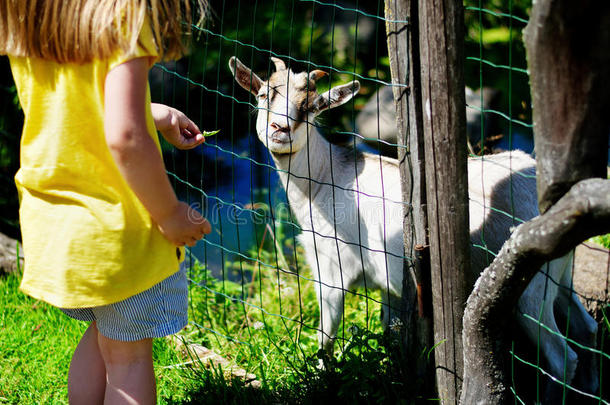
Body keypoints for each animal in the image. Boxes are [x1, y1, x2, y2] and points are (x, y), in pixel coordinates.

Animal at [228, 56, 592, 392]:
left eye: (311, 107)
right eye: (264, 94)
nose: (280, 129)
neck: (321, 180)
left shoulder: (332, 270)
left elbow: (325, 339)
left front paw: (320, 381)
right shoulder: (387, 286)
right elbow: (389, 332)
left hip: (532, 287)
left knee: (562, 356)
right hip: (561, 276)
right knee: (587, 328)